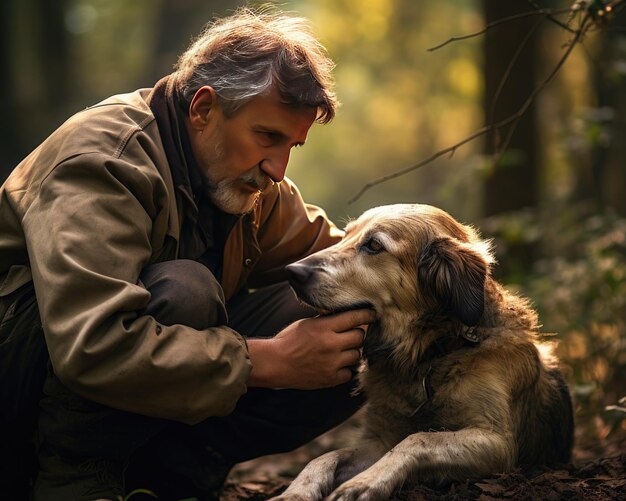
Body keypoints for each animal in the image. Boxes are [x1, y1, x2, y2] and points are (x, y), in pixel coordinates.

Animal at [270, 203, 572, 500]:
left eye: (374, 245)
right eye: (345, 236)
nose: (292, 271)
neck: (432, 353)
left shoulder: (498, 442)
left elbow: (418, 439)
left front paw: (365, 482)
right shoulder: (379, 441)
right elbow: (325, 457)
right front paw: (295, 492)